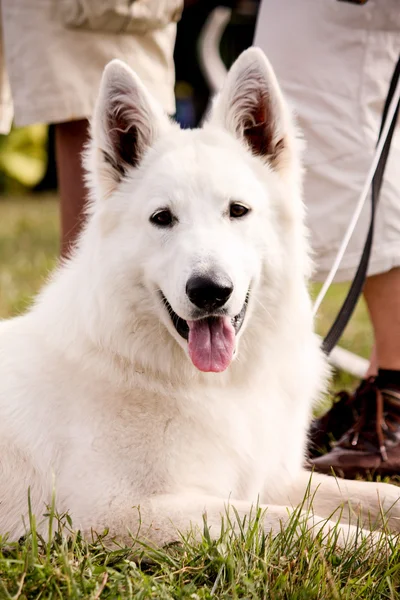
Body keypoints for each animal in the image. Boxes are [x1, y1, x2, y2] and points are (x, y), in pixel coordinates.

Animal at [0, 49, 400, 548]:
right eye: (162, 218)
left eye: (237, 210)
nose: (210, 290)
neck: (214, 387)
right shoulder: (115, 514)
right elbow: (296, 523)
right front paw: (381, 547)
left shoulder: (273, 479)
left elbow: (375, 496)